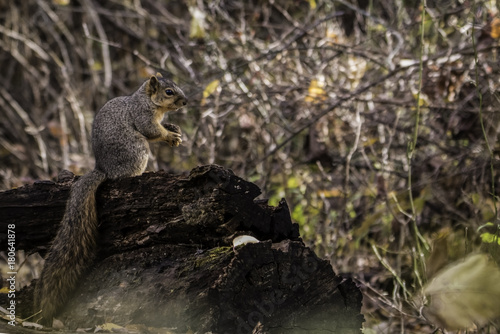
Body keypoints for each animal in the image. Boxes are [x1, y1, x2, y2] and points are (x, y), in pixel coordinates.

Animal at [34, 73, 188, 326]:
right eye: (168, 92)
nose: (185, 102)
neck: (149, 102)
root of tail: (104, 169)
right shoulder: (142, 116)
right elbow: (152, 131)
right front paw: (169, 134)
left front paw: (173, 127)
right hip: (137, 149)